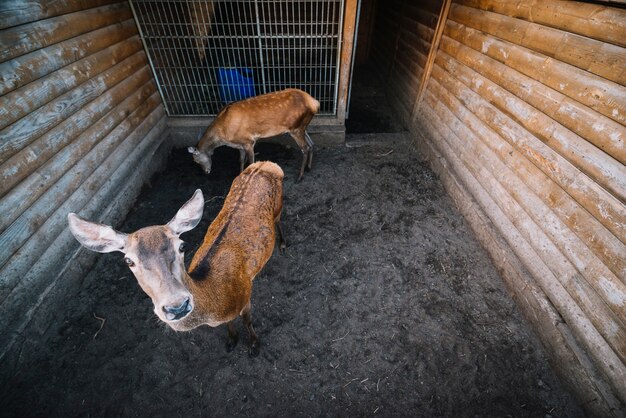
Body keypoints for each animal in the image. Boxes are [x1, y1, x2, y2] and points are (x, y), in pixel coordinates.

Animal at [67, 160, 284, 356]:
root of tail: (266, 164)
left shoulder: (246, 294)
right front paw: (231, 341)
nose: (177, 306)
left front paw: (254, 346)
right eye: (128, 261)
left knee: (279, 220)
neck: (218, 303)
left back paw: (282, 243)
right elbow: (229, 324)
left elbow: (247, 320)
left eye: (182, 246)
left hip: (279, 205)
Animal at [186, 88, 320, 181]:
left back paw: (299, 176)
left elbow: (250, 163)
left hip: (295, 129)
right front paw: (239, 175)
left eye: (195, 160)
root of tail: (315, 103)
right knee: (312, 143)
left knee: (305, 149)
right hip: (302, 127)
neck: (224, 135)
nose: (206, 172)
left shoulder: (248, 142)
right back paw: (308, 167)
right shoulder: (239, 144)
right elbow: (240, 160)